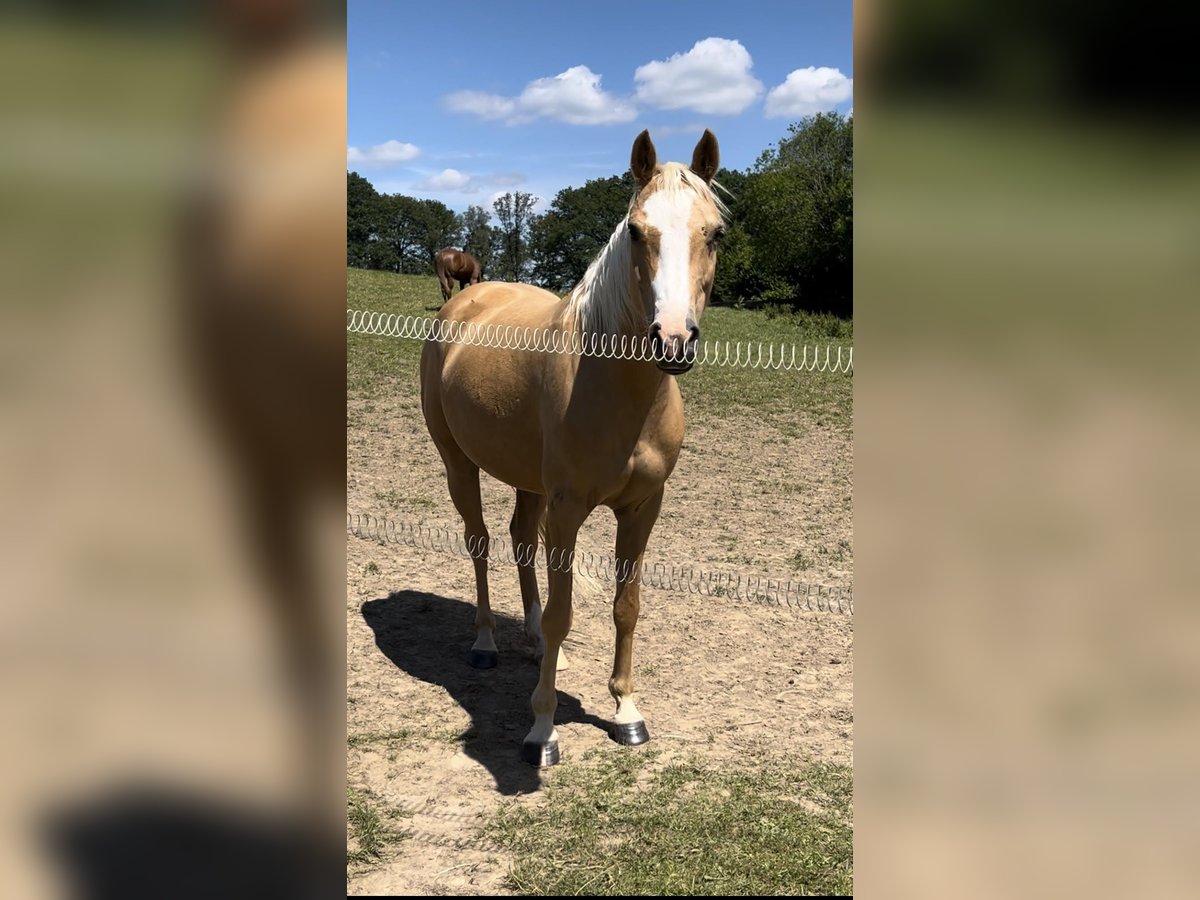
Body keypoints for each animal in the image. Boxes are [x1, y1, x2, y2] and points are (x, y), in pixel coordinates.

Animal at [422, 130, 720, 768]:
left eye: (715, 232)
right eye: (636, 231)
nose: (673, 339)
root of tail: (465, 299)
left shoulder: (642, 509)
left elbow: (626, 606)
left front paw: (627, 712)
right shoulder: (567, 509)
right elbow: (564, 614)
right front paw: (542, 729)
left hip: (529, 483)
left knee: (518, 542)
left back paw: (533, 642)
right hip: (459, 464)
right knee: (480, 542)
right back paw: (486, 643)